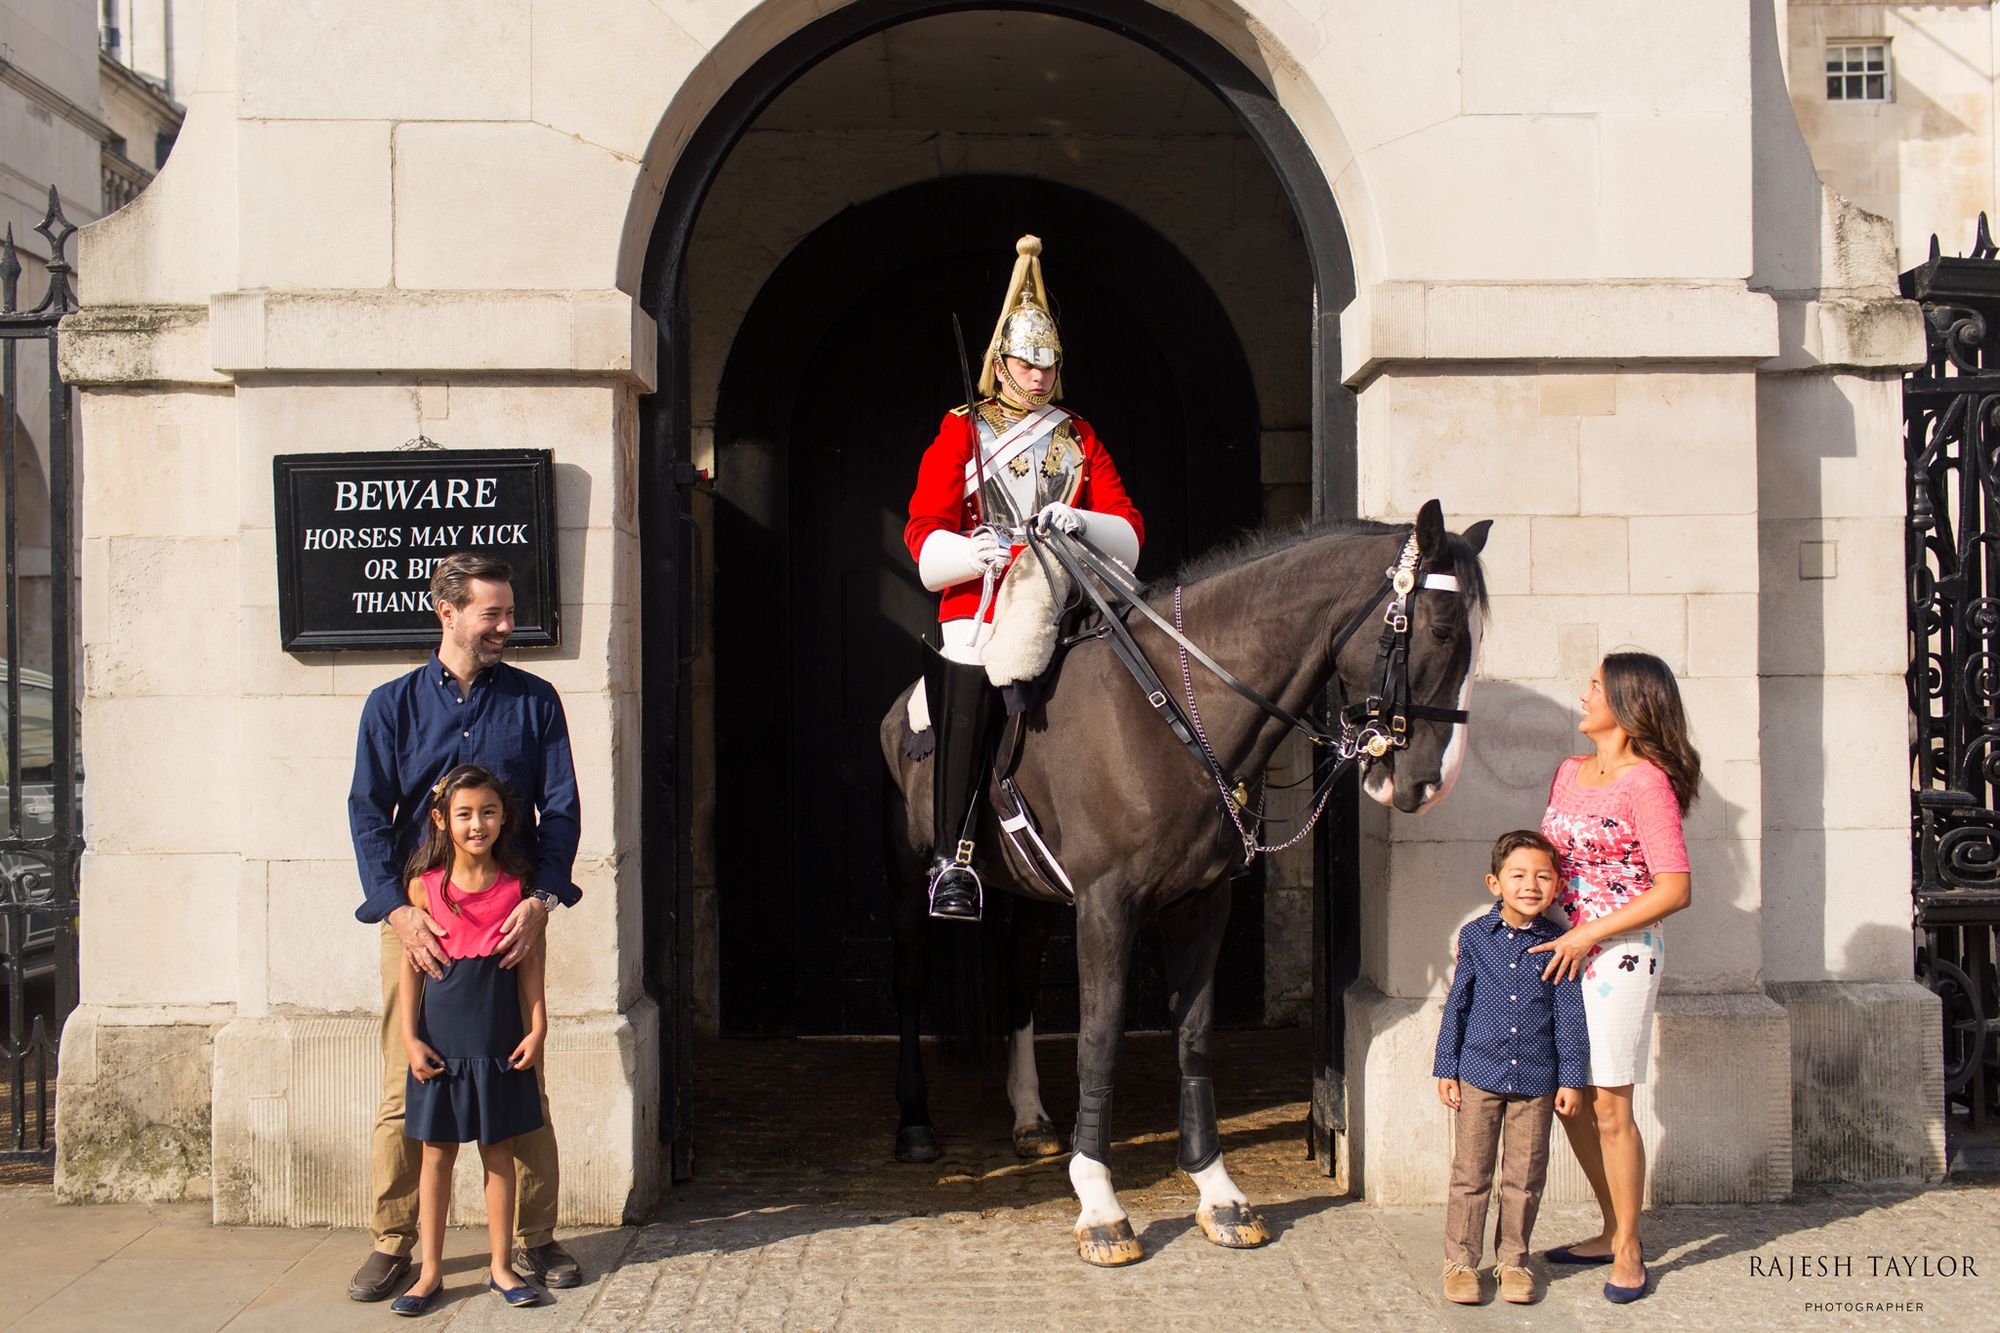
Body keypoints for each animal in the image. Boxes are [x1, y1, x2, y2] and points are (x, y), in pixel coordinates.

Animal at [880, 500, 1488, 1264]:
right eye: (1440, 630)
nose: (1429, 784)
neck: (1168, 709)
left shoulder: (1203, 900)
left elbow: (1193, 1036)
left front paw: (1217, 1190)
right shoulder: (1107, 905)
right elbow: (1099, 1036)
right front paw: (1100, 1204)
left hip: (1037, 895)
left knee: (1019, 979)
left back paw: (1029, 1117)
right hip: (912, 880)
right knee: (909, 984)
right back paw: (916, 1124)